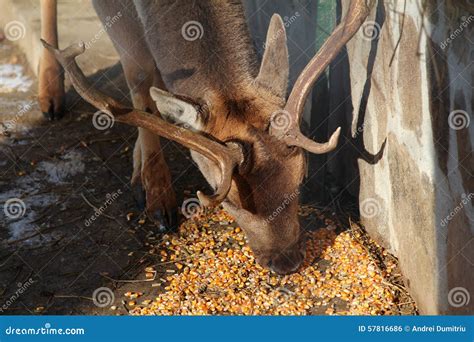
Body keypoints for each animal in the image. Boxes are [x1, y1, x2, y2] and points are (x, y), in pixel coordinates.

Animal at [39, 0, 370, 274]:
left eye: (300, 179)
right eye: (231, 200)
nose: (286, 263)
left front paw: (140, 176)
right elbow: (139, 74)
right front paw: (158, 200)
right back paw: (50, 96)